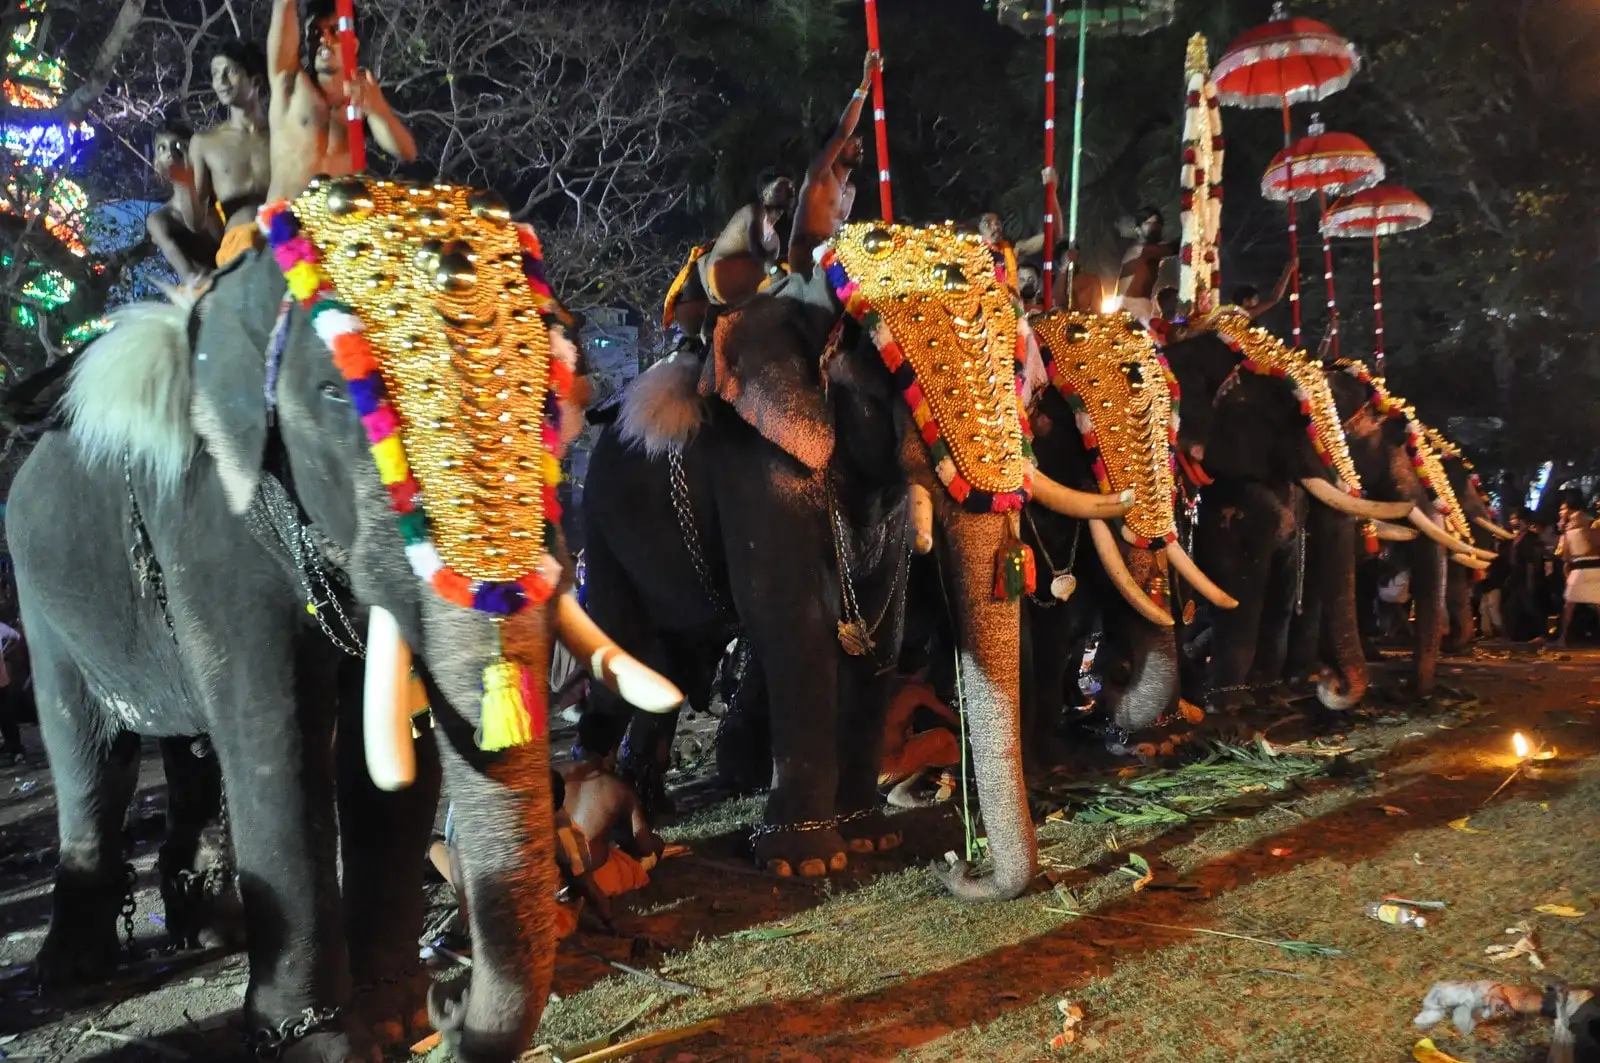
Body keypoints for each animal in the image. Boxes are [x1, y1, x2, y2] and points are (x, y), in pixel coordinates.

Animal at [7, 180, 681, 1063]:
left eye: (552, 392)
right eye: (337, 395)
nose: (449, 1000)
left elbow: (393, 747)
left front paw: (392, 1017)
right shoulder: (205, 527)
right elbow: (276, 729)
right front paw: (315, 1040)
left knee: (189, 752)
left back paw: (208, 933)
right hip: (39, 599)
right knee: (90, 754)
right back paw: (72, 971)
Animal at [582, 222, 1132, 896]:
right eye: (905, 381)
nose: (959, 866)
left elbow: (882, 628)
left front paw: (873, 838)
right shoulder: (757, 465)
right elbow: (794, 628)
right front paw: (806, 861)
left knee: (676, 667)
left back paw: (650, 815)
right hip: (598, 526)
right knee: (626, 656)